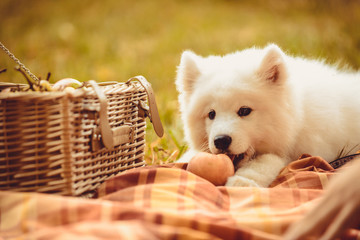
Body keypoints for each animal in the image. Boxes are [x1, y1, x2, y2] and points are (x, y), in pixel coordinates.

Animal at [176, 44, 360, 188]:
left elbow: (268, 160)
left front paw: (243, 181)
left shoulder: (306, 151)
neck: (298, 116)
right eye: (211, 114)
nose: (221, 140)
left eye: (244, 111)